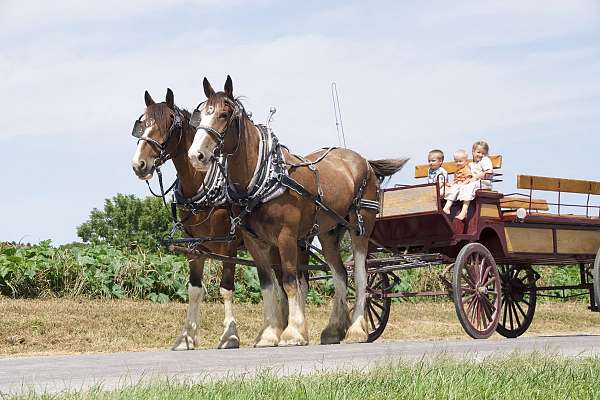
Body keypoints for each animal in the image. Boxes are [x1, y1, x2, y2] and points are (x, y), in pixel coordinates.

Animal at [132, 89, 290, 348]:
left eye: (168, 126)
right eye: (141, 124)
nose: (139, 165)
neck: (201, 184)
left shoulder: (228, 246)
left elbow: (226, 288)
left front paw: (230, 335)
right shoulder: (193, 247)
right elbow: (194, 289)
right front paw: (186, 336)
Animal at [185, 76, 408, 346]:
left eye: (224, 114)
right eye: (200, 115)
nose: (196, 155)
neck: (265, 177)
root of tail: (363, 161)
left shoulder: (287, 237)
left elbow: (291, 282)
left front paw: (291, 333)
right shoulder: (255, 242)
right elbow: (268, 285)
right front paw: (270, 334)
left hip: (360, 226)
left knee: (361, 275)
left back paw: (356, 330)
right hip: (328, 233)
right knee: (340, 275)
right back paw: (333, 330)